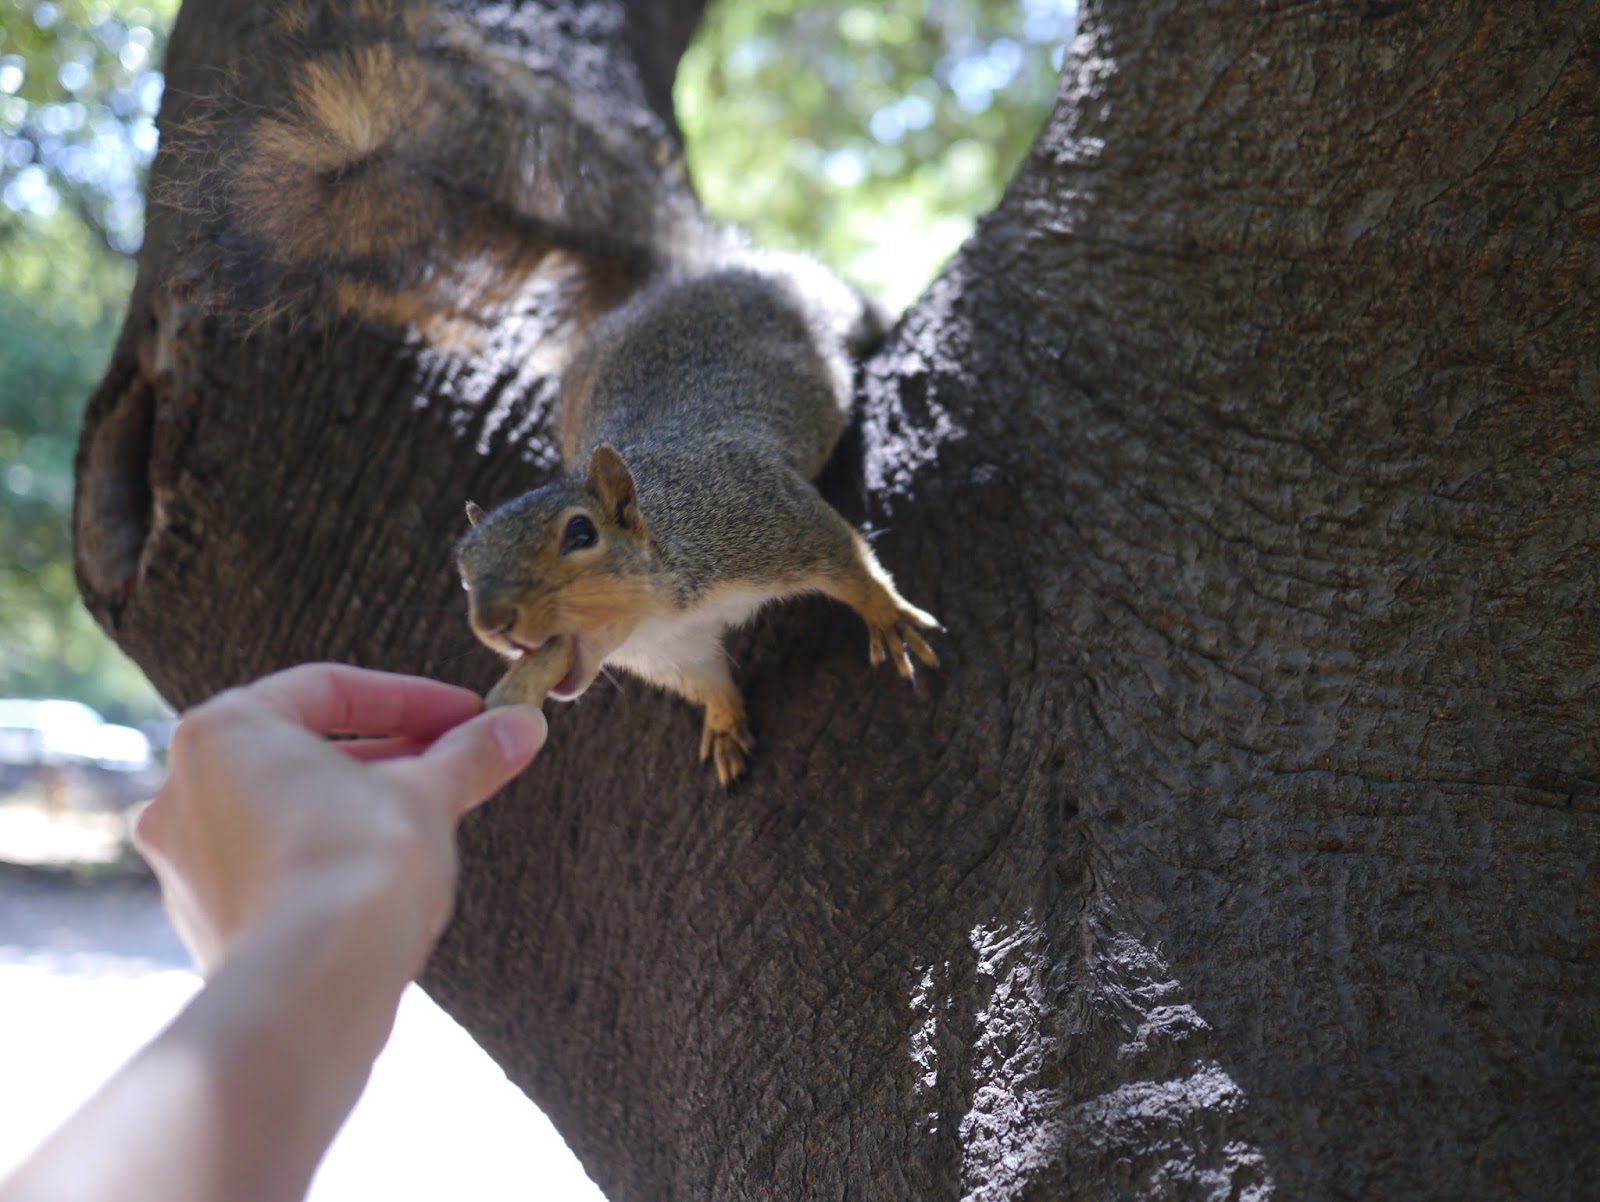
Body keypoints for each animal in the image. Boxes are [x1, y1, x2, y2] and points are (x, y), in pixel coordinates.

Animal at [455, 254, 940, 785]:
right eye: (464, 571)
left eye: (581, 532)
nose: (493, 622)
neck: (660, 612)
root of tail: (694, 272)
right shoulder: (675, 652)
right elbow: (706, 680)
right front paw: (724, 722)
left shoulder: (766, 516)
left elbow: (847, 563)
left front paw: (888, 616)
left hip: (824, 299)